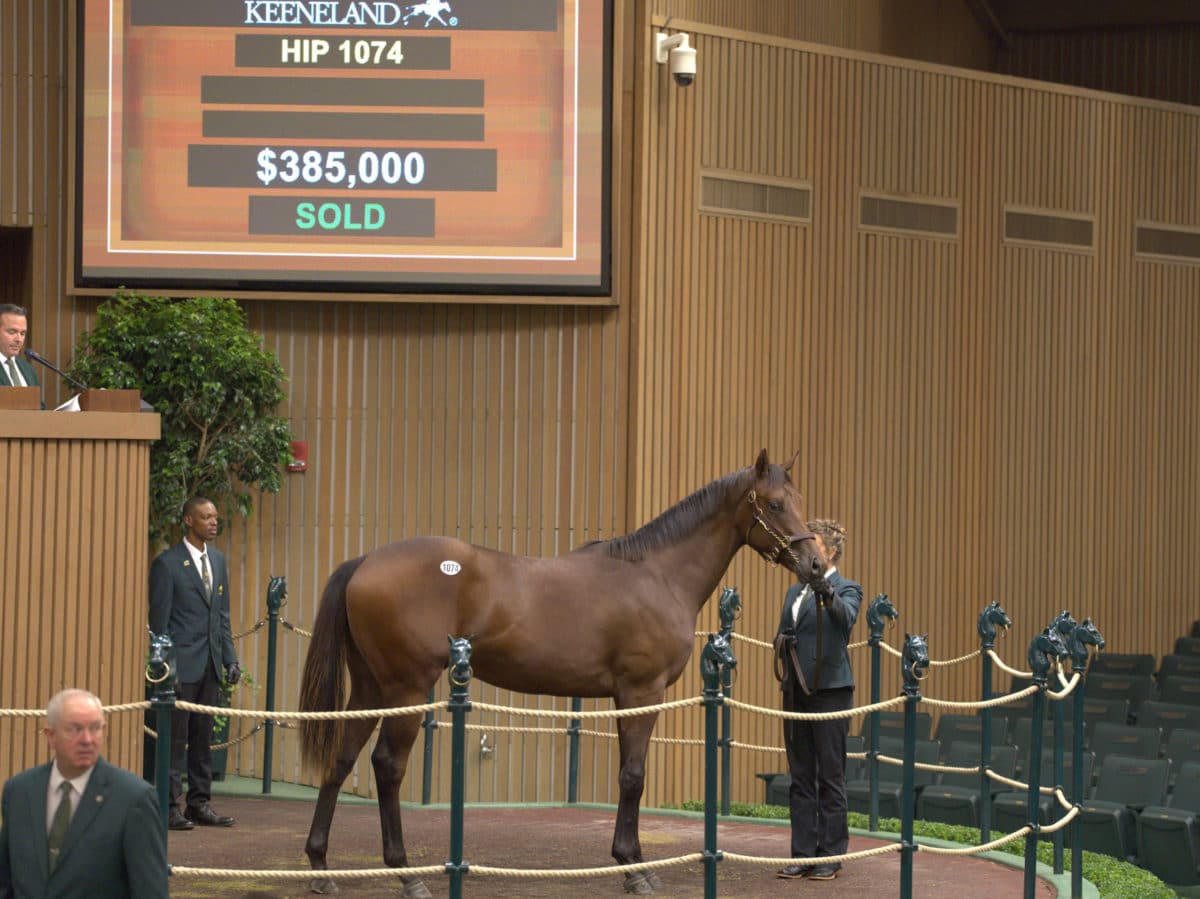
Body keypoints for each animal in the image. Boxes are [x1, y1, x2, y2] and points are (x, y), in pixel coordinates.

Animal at [295, 448, 830, 897]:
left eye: (801, 501)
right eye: (776, 505)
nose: (817, 565)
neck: (657, 574)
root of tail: (366, 561)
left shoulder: (624, 698)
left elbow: (628, 773)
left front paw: (631, 860)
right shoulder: (641, 693)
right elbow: (633, 776)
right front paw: (633, 869)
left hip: (371, 688)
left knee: (341, 760)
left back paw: (320, 867)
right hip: (407, 689)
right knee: (387, 766)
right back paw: (407, 875)